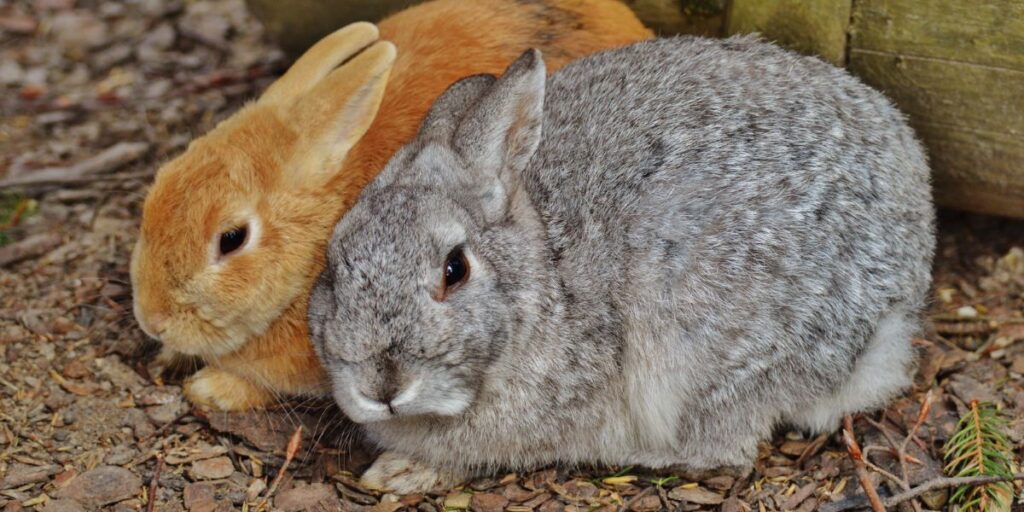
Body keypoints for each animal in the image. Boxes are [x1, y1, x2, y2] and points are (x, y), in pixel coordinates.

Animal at [305, 36, 937, 491]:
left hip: (706, 347)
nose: (381, 386)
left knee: (724, 449)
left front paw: (403, 472)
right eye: (333, 267)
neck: (546, 273)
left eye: (454, 269)